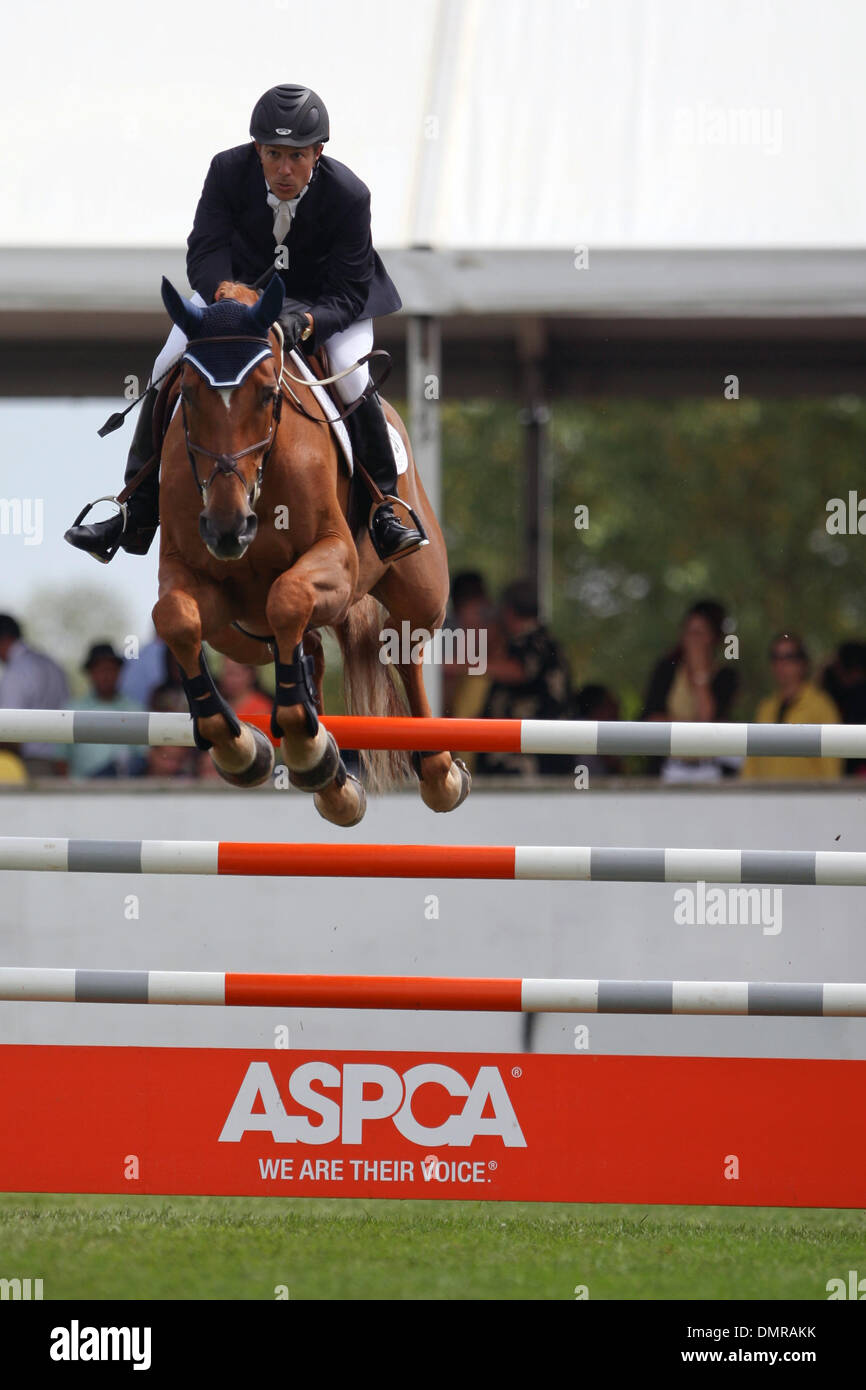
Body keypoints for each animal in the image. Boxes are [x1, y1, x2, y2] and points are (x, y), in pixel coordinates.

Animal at [152, 282, 469, 822]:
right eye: (187, 395)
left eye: (267, 393)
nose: (228, 529)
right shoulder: (190, 576)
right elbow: (176, 618)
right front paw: (241, 747)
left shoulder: (335, 557)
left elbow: (288, 598)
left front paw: (301, 743)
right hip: (241, 636)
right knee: (309, 646)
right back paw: (334, 775)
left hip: (422, 592)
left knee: (401, 644)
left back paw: (437, 771)